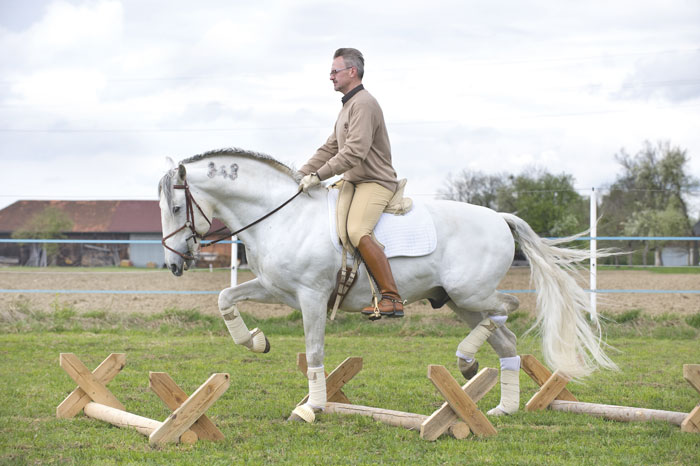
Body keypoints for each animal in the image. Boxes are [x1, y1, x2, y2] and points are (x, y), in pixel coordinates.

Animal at [159, 148, 616, 422]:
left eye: (178, 206)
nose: (173, 264)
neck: (282, 217)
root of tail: (499, 217)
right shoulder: (276, 288)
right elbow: (226, 297)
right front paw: (255, 340)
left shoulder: (311, 296)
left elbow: (314, 351)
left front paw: (312, 407)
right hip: (461, 302)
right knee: (505, 340)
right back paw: (501, 404)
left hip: (470, 293)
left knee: (509, 308)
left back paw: (467, 358)